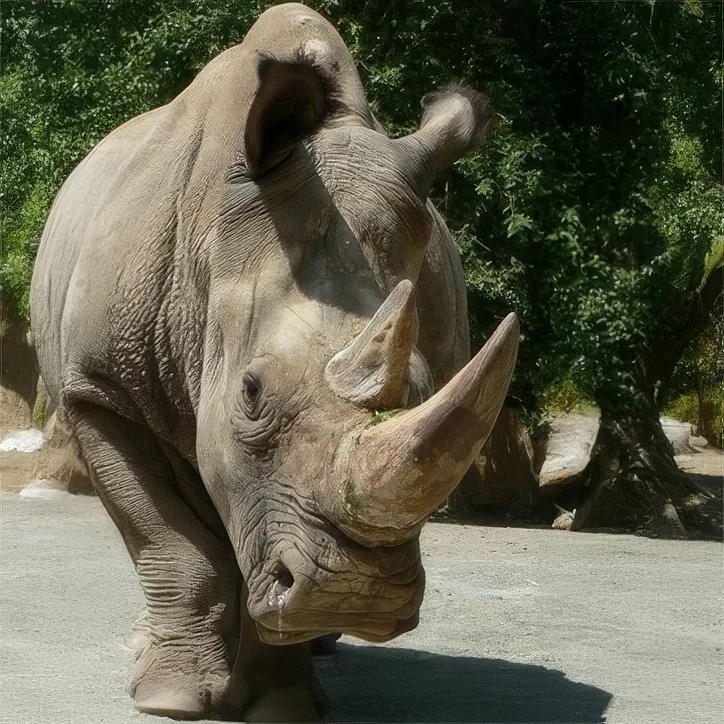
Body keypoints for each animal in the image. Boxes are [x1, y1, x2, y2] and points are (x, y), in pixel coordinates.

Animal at [30, 3, 518, 721]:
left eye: (426, 387)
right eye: (251, 392)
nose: (354, 595)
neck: (209, 253)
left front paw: (281, 702)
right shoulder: (100, 390)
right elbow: (169, 539)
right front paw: (172, 699)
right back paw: (147, 648)